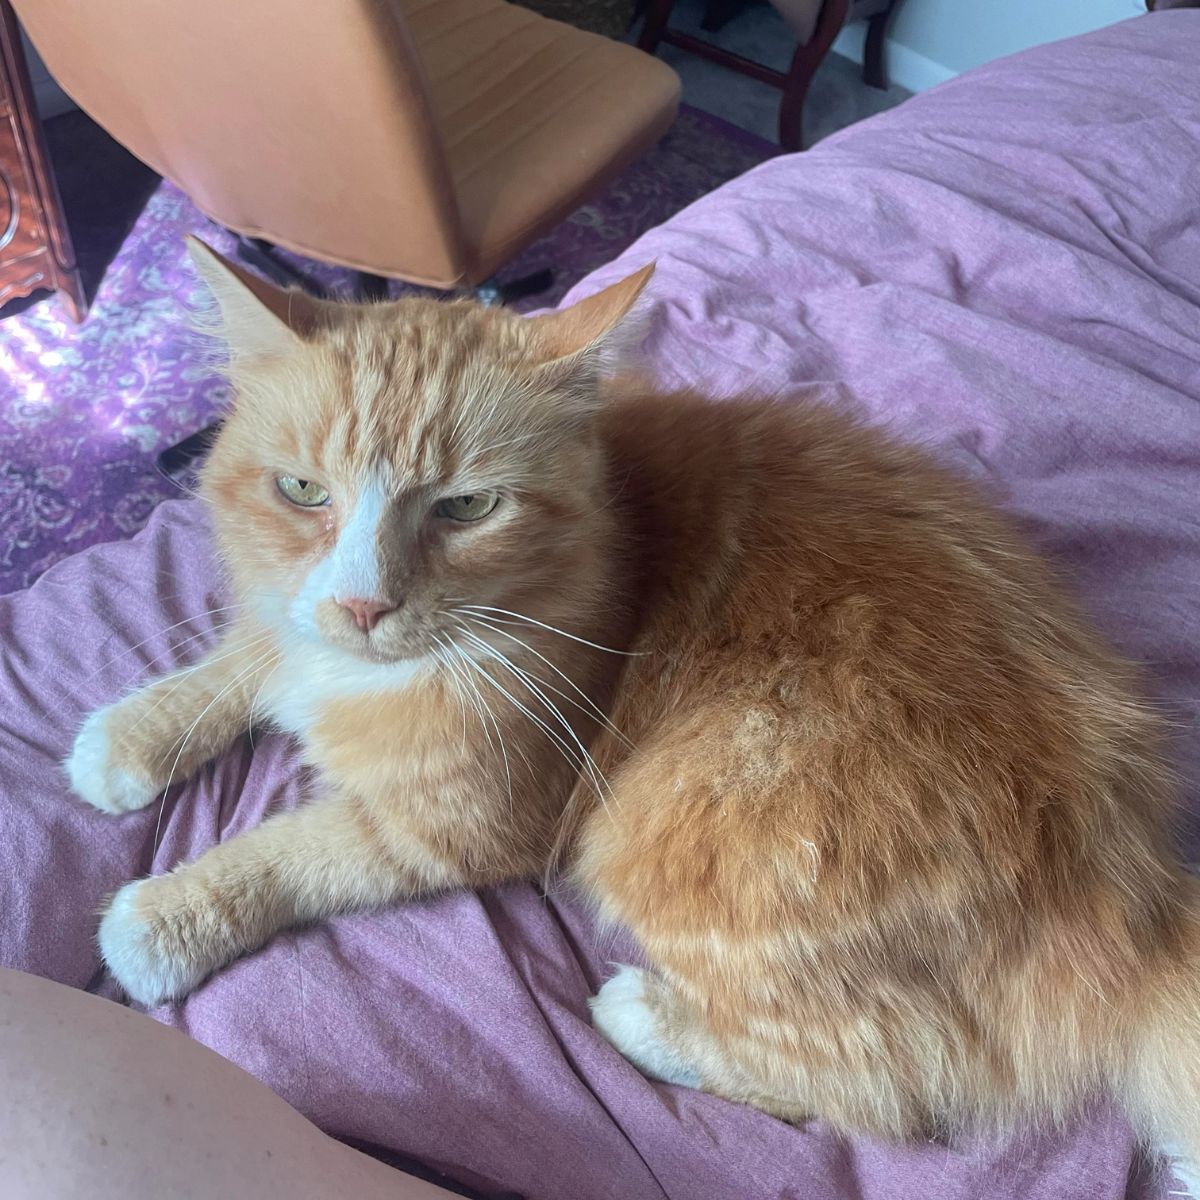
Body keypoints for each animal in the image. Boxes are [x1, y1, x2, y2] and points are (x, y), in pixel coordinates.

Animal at [68, 238, 1200, 1166]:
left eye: (466, 507)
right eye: (303, 492)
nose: (363, 605)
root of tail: (1132, 900)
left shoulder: (458, 824)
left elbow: (294, 852)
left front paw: (169, 914)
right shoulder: (294, 625)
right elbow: (243, 658)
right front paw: (130, 733)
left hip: (668, 830)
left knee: (892, 1083)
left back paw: (643, 1016)